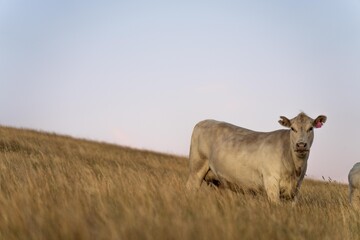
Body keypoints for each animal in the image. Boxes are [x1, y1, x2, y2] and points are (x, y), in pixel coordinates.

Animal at [186, 112, 326, 202]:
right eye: (292, 128)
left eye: (311, 128)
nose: (301, 145)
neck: (295, 169)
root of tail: (203, 121)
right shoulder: (271, 182)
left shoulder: (296, 190)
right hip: (196, 168)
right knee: (191, 187)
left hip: (217, 181)